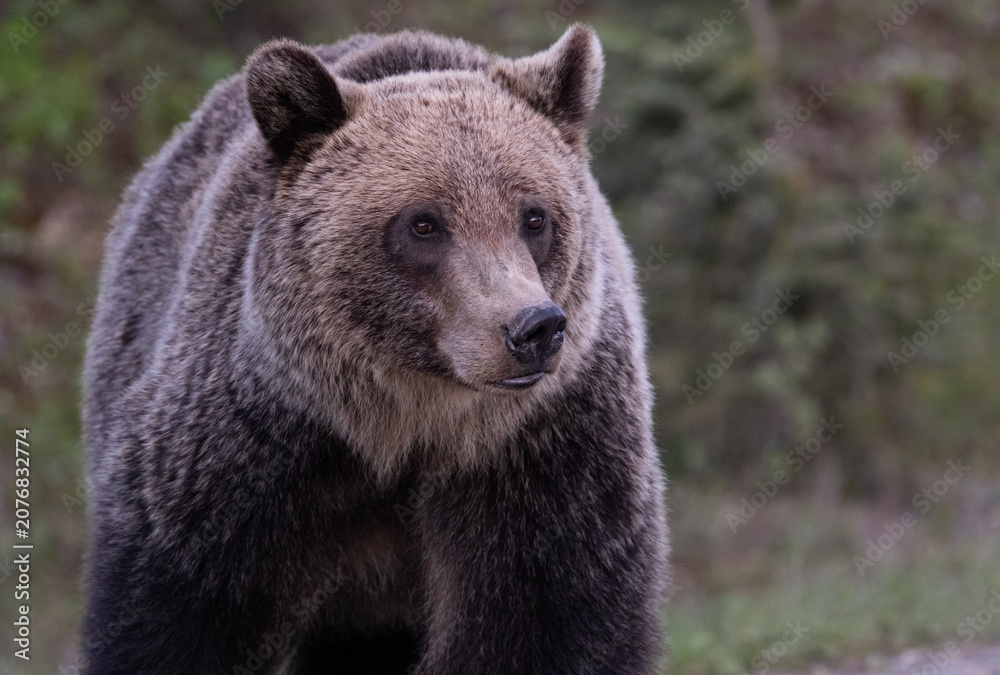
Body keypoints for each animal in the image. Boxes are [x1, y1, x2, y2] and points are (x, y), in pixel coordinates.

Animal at [80, 25, 669, 675]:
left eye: (534, 216)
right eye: (424, 223)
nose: (532, 328)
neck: (403, 429)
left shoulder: (547, 454)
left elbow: (545, 623)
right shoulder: (247, 453)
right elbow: (180, 615)